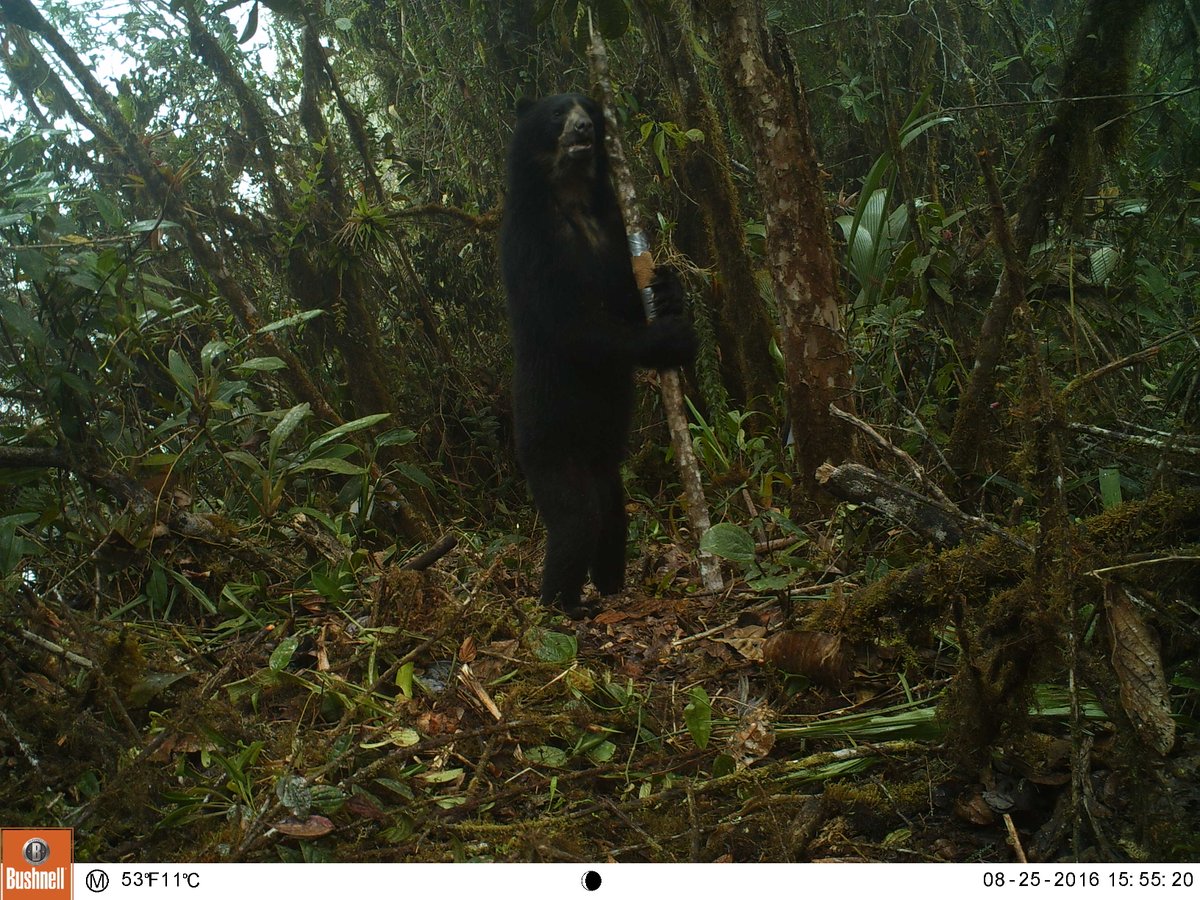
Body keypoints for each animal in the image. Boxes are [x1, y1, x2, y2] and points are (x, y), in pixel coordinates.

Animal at [500, 92, 698, 616]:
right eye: (556, 113)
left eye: (586, 107)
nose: (585, 127)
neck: (569, 195)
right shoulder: (534, 245)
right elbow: (575, 326)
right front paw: (671, 339)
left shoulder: (610, 230)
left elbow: (626, 293)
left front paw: (668, 289)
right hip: (549, 442)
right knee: (576, 517)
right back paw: (562, 604)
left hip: (603, 459)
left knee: (612, 510)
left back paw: (610, 585)